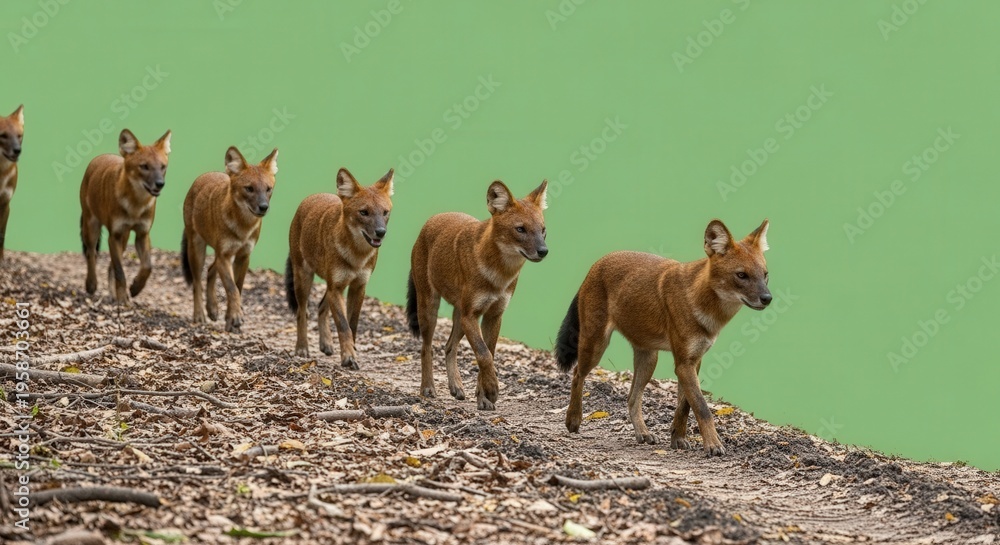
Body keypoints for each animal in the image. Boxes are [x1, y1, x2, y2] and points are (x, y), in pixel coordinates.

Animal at [80, 129, 171, 302]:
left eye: (163, 167)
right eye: (144, 166)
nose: (160, 184)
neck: (136, 206)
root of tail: (101, 156)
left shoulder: (142, 234)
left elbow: (147, 267)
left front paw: (135, 288)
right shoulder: (114, 235)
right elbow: (120, 272)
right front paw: (123, 299)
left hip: (125, 237)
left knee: (111, 265)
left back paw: (112, 293)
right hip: (92, 226)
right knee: (91, 254)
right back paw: (91, 284)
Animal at [181, 146, 278, 333]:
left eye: (268, 189)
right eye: (249, 188)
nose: (263, 207)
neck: (243, 227)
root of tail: (206, 174)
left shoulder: (243, 256)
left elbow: (237, 287)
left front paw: (231, 319)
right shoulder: (225, 256)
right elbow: (232, 288)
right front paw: (235, 317)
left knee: (211, 269)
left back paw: (212, 309)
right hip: (197, 248)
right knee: (197, 281)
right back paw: (200, 315)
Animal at [285, 168, 394, 368]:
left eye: (385, 212)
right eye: (364, 212)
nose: (381, 232)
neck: (357, 256)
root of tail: (313, 196)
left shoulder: (357, 287)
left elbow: (352, 324)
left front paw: (352, 352)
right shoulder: (336, 287)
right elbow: (343, 326)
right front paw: (349, 357)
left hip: (331, 287)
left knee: (321, 307)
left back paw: (326, 344)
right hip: (304, 278)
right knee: (302, 312)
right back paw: (302, 348)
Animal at [407, 180, 549, 411]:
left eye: (543, 230)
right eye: (520, 229)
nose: (544, 251)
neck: (499, 275)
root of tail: (433, 219)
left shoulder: (493, 315)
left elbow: (489, 353)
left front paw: (484, 397)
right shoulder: (471, 315)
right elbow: (483, 354)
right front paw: (492, 389)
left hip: (458, 316)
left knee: (449, 347)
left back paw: (456, 387)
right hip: (430, 308)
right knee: (426, 348)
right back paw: (428, 388)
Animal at [555, 219, 771, 456]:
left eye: (765, 274)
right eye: (741, 275)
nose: (767, 298)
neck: (703, 305)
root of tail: (597, 264)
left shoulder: (693, 361)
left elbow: (685, 405)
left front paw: (678, 437)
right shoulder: (683, 363)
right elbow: (702, 407)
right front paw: (713, 444)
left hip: (649, 358)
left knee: (632, 398)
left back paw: (643, 433)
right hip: (595, 344)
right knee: (578, 373)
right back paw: (573, 420)